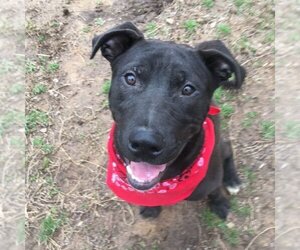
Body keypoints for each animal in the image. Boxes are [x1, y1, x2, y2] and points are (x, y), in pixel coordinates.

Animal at [91, 22, 246, 220]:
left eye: (188, 89)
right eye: (131, 78)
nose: (145, 144)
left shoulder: (210, 181)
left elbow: (215, 191)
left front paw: (219, 203)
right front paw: (150, 208)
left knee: (227, 147)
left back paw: (232, 180)